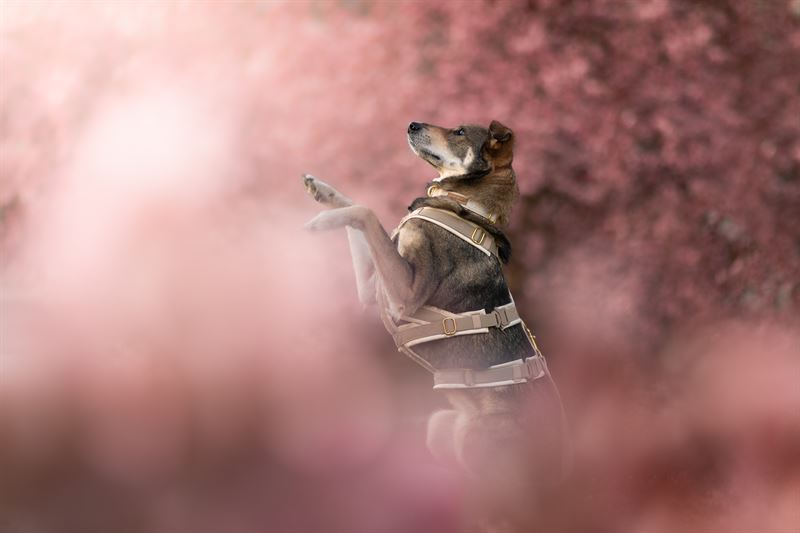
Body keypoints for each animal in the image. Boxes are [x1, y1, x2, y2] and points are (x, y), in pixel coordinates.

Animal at [302, 121, 568, 532]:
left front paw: (319, 223)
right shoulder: (374, 288)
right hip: (441, 429)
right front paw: (322, 191)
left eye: (459, 131)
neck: (464, 207)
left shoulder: (404, 296)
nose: (411, 123)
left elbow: (366, 212)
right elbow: (357, 209)